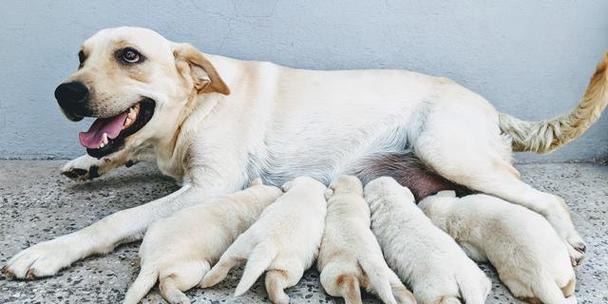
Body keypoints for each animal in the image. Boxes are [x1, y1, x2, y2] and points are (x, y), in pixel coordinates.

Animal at [200, 176, 328, 304]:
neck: (305, 190)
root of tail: (267, 244)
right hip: (290, 266)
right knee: (274, 279)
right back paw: (283, 299)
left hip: (242, 243)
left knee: (226, 261)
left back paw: (206, 281)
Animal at [316, 176, 416, 304]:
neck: (347, 193)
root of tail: (368, 261)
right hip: (388, 275)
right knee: (402, 292)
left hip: (336, 271)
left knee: (348, 285)